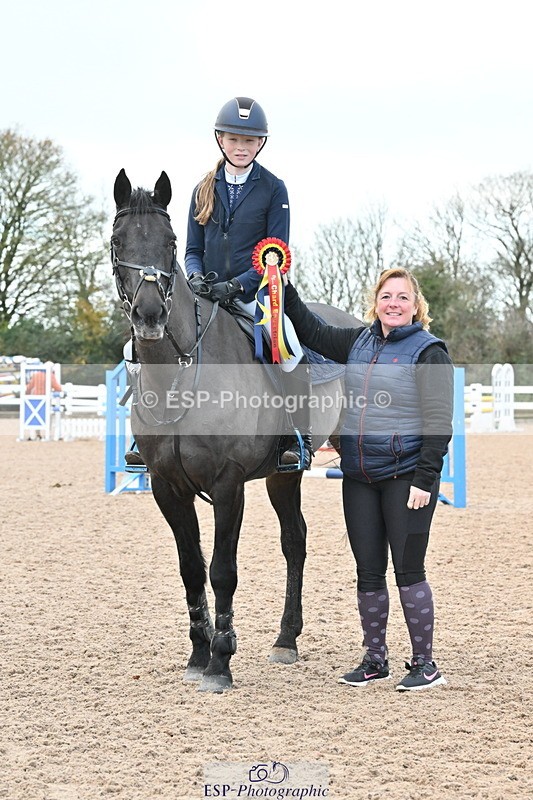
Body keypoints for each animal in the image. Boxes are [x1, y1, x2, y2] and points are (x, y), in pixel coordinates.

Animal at [111, 169, 359, 692]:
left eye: (168, 242)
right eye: (119, 241)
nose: (149, 315)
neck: (181, 375)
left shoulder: (227, 484)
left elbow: (222, 570)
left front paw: (220, 661)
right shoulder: (168, 487)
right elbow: (191, 569)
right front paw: (197, 653)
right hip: (283, 475)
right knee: (295, 539)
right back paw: (286, 640)